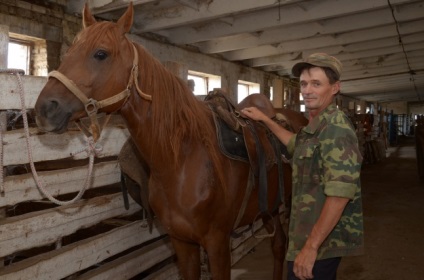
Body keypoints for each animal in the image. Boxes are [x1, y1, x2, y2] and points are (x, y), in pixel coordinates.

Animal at [33, 2, 304, 280]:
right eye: (70, 51)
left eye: (100, 54)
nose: (45, 109)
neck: (182, 159)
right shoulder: (181, 242)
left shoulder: (218, 243)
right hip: (270, 208)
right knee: (278, 245)